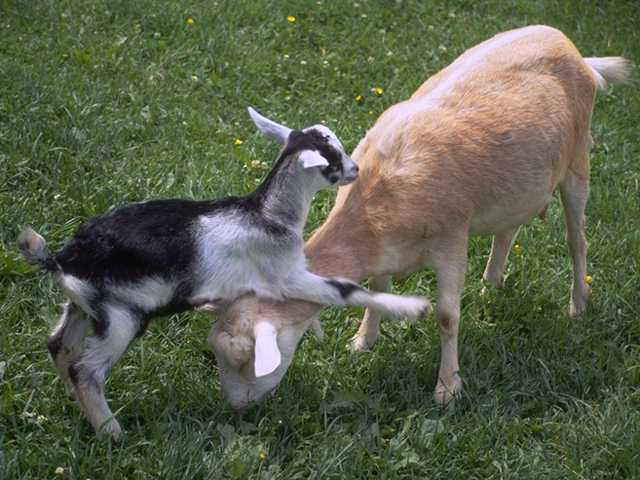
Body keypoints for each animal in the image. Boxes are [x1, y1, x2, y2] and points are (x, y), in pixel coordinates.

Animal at [18, 109, 430, 438]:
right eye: (333, 157)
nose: (355, 170)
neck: (267, 215)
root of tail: (66, 258)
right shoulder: (286, 276)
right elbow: (342, 289)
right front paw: (412, 306)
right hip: (121, 316)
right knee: (85, 369)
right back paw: (111, 432)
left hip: (83, 305)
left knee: (59, 345)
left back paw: (77, 405)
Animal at [210, 25, 632, 408]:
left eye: (246, 359)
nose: (237, 409)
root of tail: (575, 50)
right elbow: (377, 288)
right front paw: (362, 342)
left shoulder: (452, 236)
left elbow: (446, 316)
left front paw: (447, 389)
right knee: (508, 230)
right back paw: (490, 286)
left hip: (579, 159)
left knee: (577, 240)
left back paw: (577, 305)